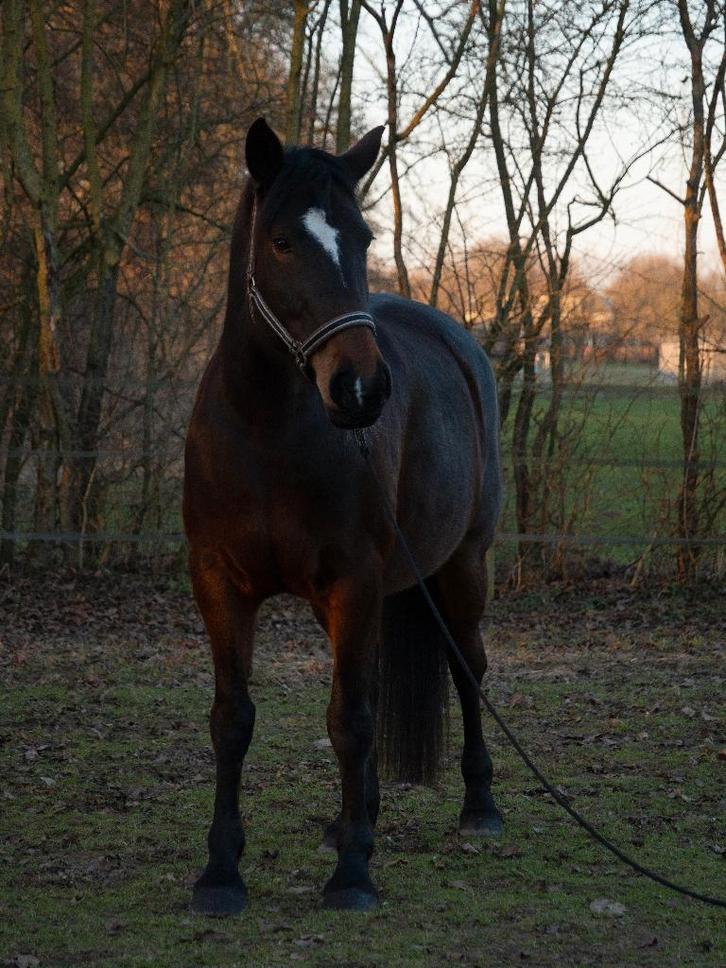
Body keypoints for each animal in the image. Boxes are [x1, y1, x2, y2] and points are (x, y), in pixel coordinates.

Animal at [183, 117, 503, 914]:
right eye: (281, 241)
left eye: (360, 237)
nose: (361, 387)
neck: (265, 429)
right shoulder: (219, 585)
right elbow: (233, 720)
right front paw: (221, 872)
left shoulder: (352, 584)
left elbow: (349, 721)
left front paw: (354, 874)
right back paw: (357, 816)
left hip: (464, 567)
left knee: (467, 667)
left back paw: (480, 806)